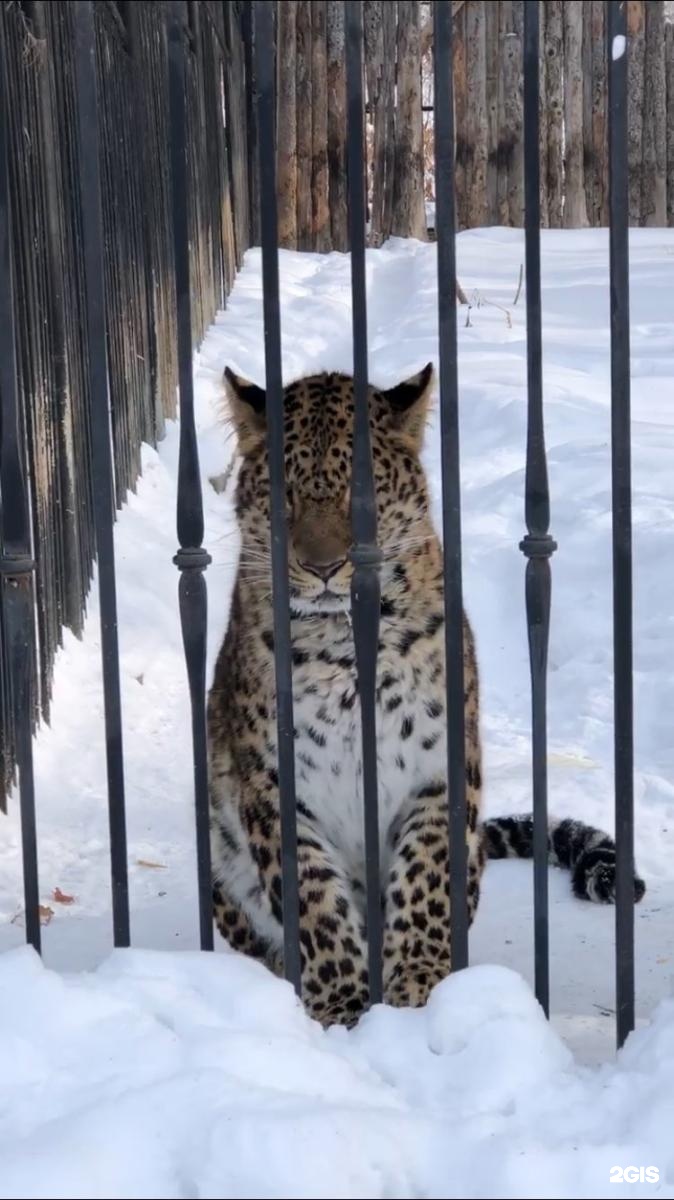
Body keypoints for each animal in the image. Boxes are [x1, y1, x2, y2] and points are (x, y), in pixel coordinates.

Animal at [207, 360, 642, 1027]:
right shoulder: (274, 786)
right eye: (285, 497)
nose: (324, 567)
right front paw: (344, 1004)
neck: (342, 646)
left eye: (361, 498)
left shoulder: (440, 769)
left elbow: (424, 877)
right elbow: (315, 903)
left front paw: (417, 984)